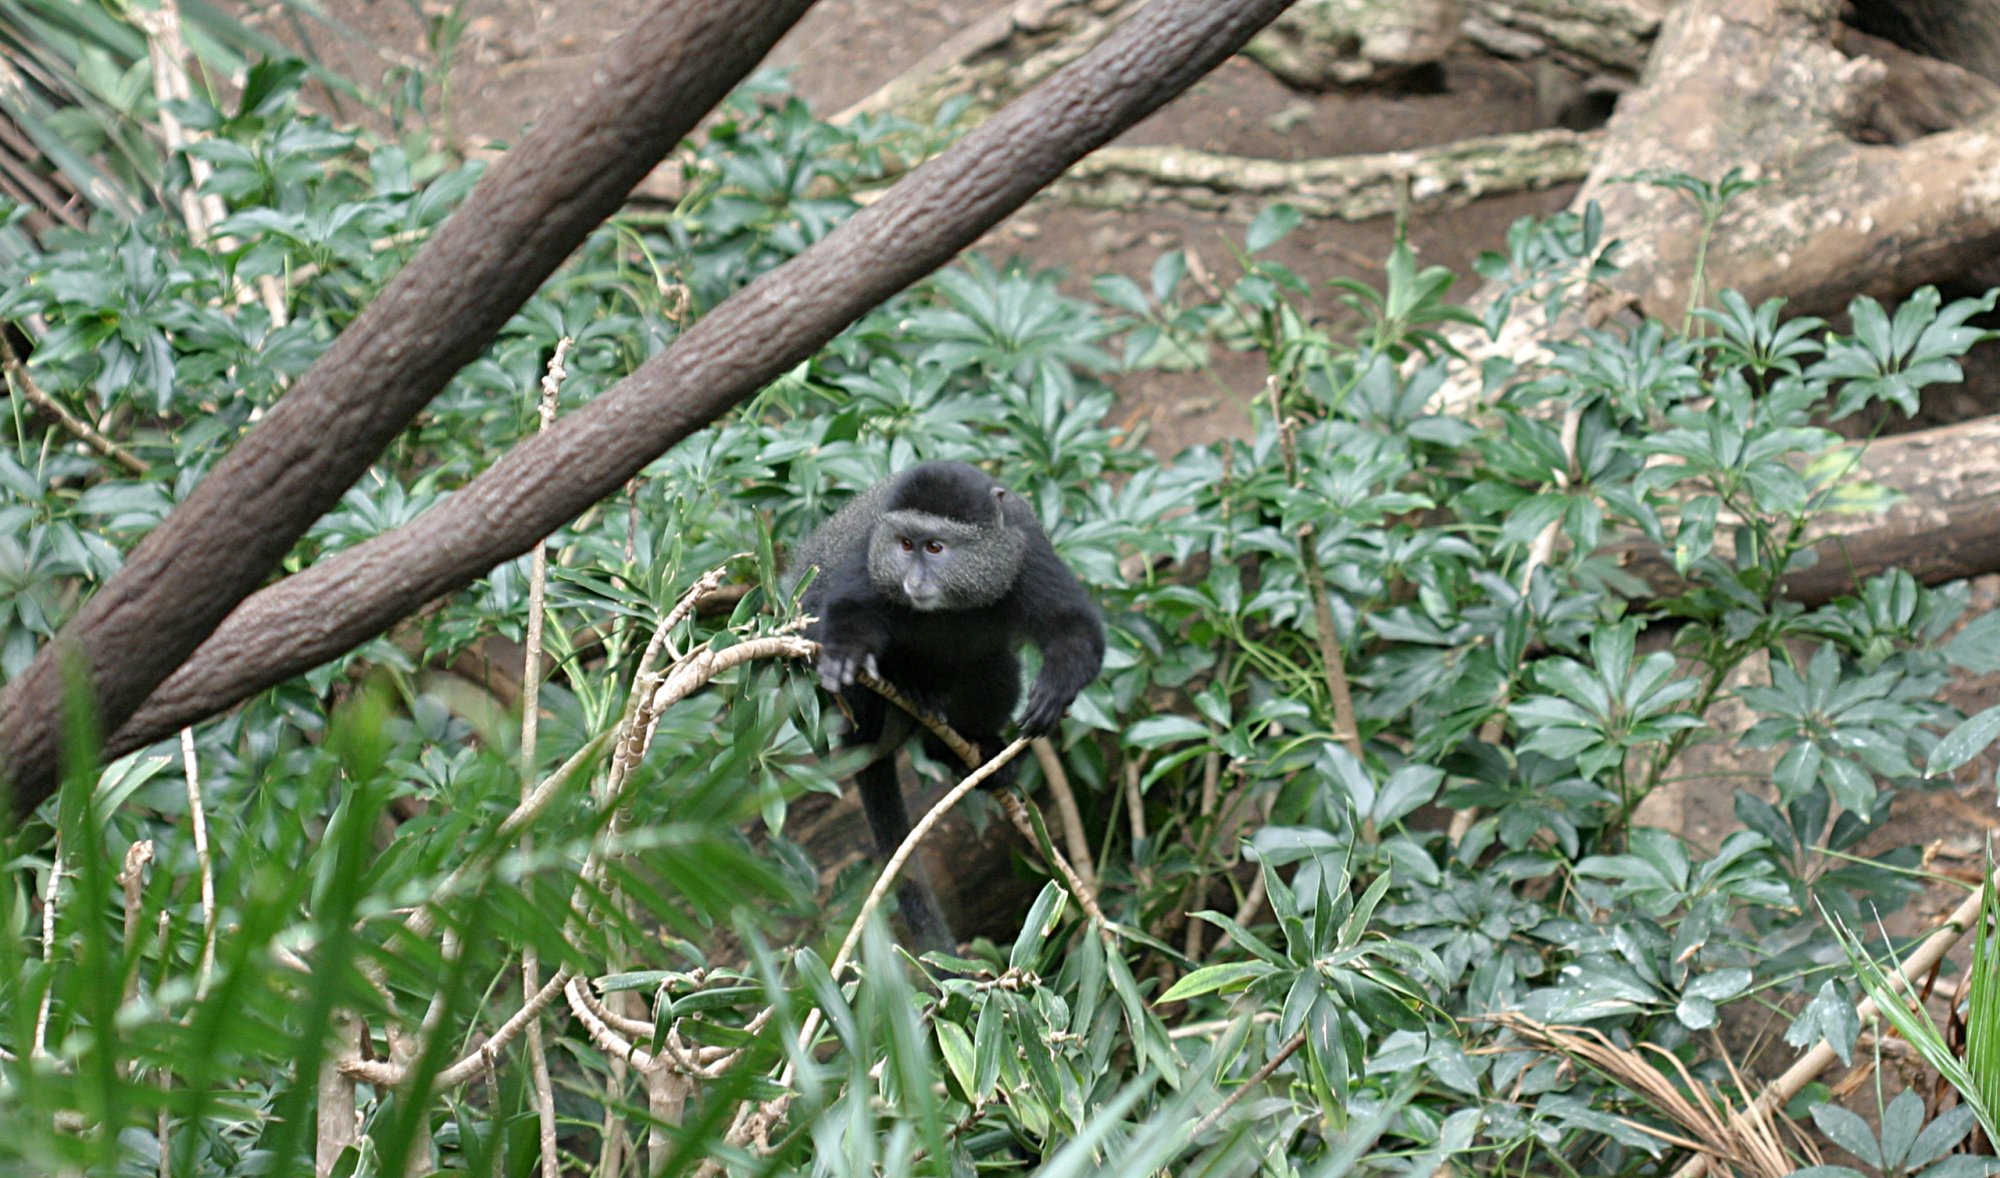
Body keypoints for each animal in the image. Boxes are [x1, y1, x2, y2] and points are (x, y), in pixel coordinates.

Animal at [788, 461, 1106, 949]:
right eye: (905, 545)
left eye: (935, 547)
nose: (913, 581)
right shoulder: (868, 550)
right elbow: (846, 609)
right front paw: (845, 653)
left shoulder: (1026, 549)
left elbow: (1073, 623)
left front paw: (1058, 686)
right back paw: (913, 694)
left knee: (993, 668)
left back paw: (972, 752)